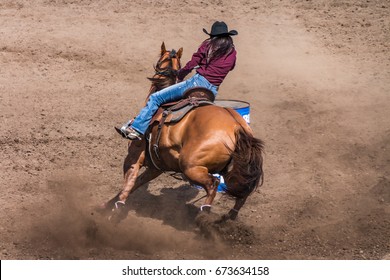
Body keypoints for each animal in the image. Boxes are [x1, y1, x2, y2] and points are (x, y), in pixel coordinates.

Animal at [102, 43, 264, 223]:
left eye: (160, 59)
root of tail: (236, 125)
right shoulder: (155, 167)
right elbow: (136, 183)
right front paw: (109, 204)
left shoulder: (134, 156)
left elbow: (129, 183)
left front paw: (116, 209)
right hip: (233, 170)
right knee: (242, 192)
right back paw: (228, 217)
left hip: (190, 166)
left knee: (213, 184)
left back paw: (204, 215)